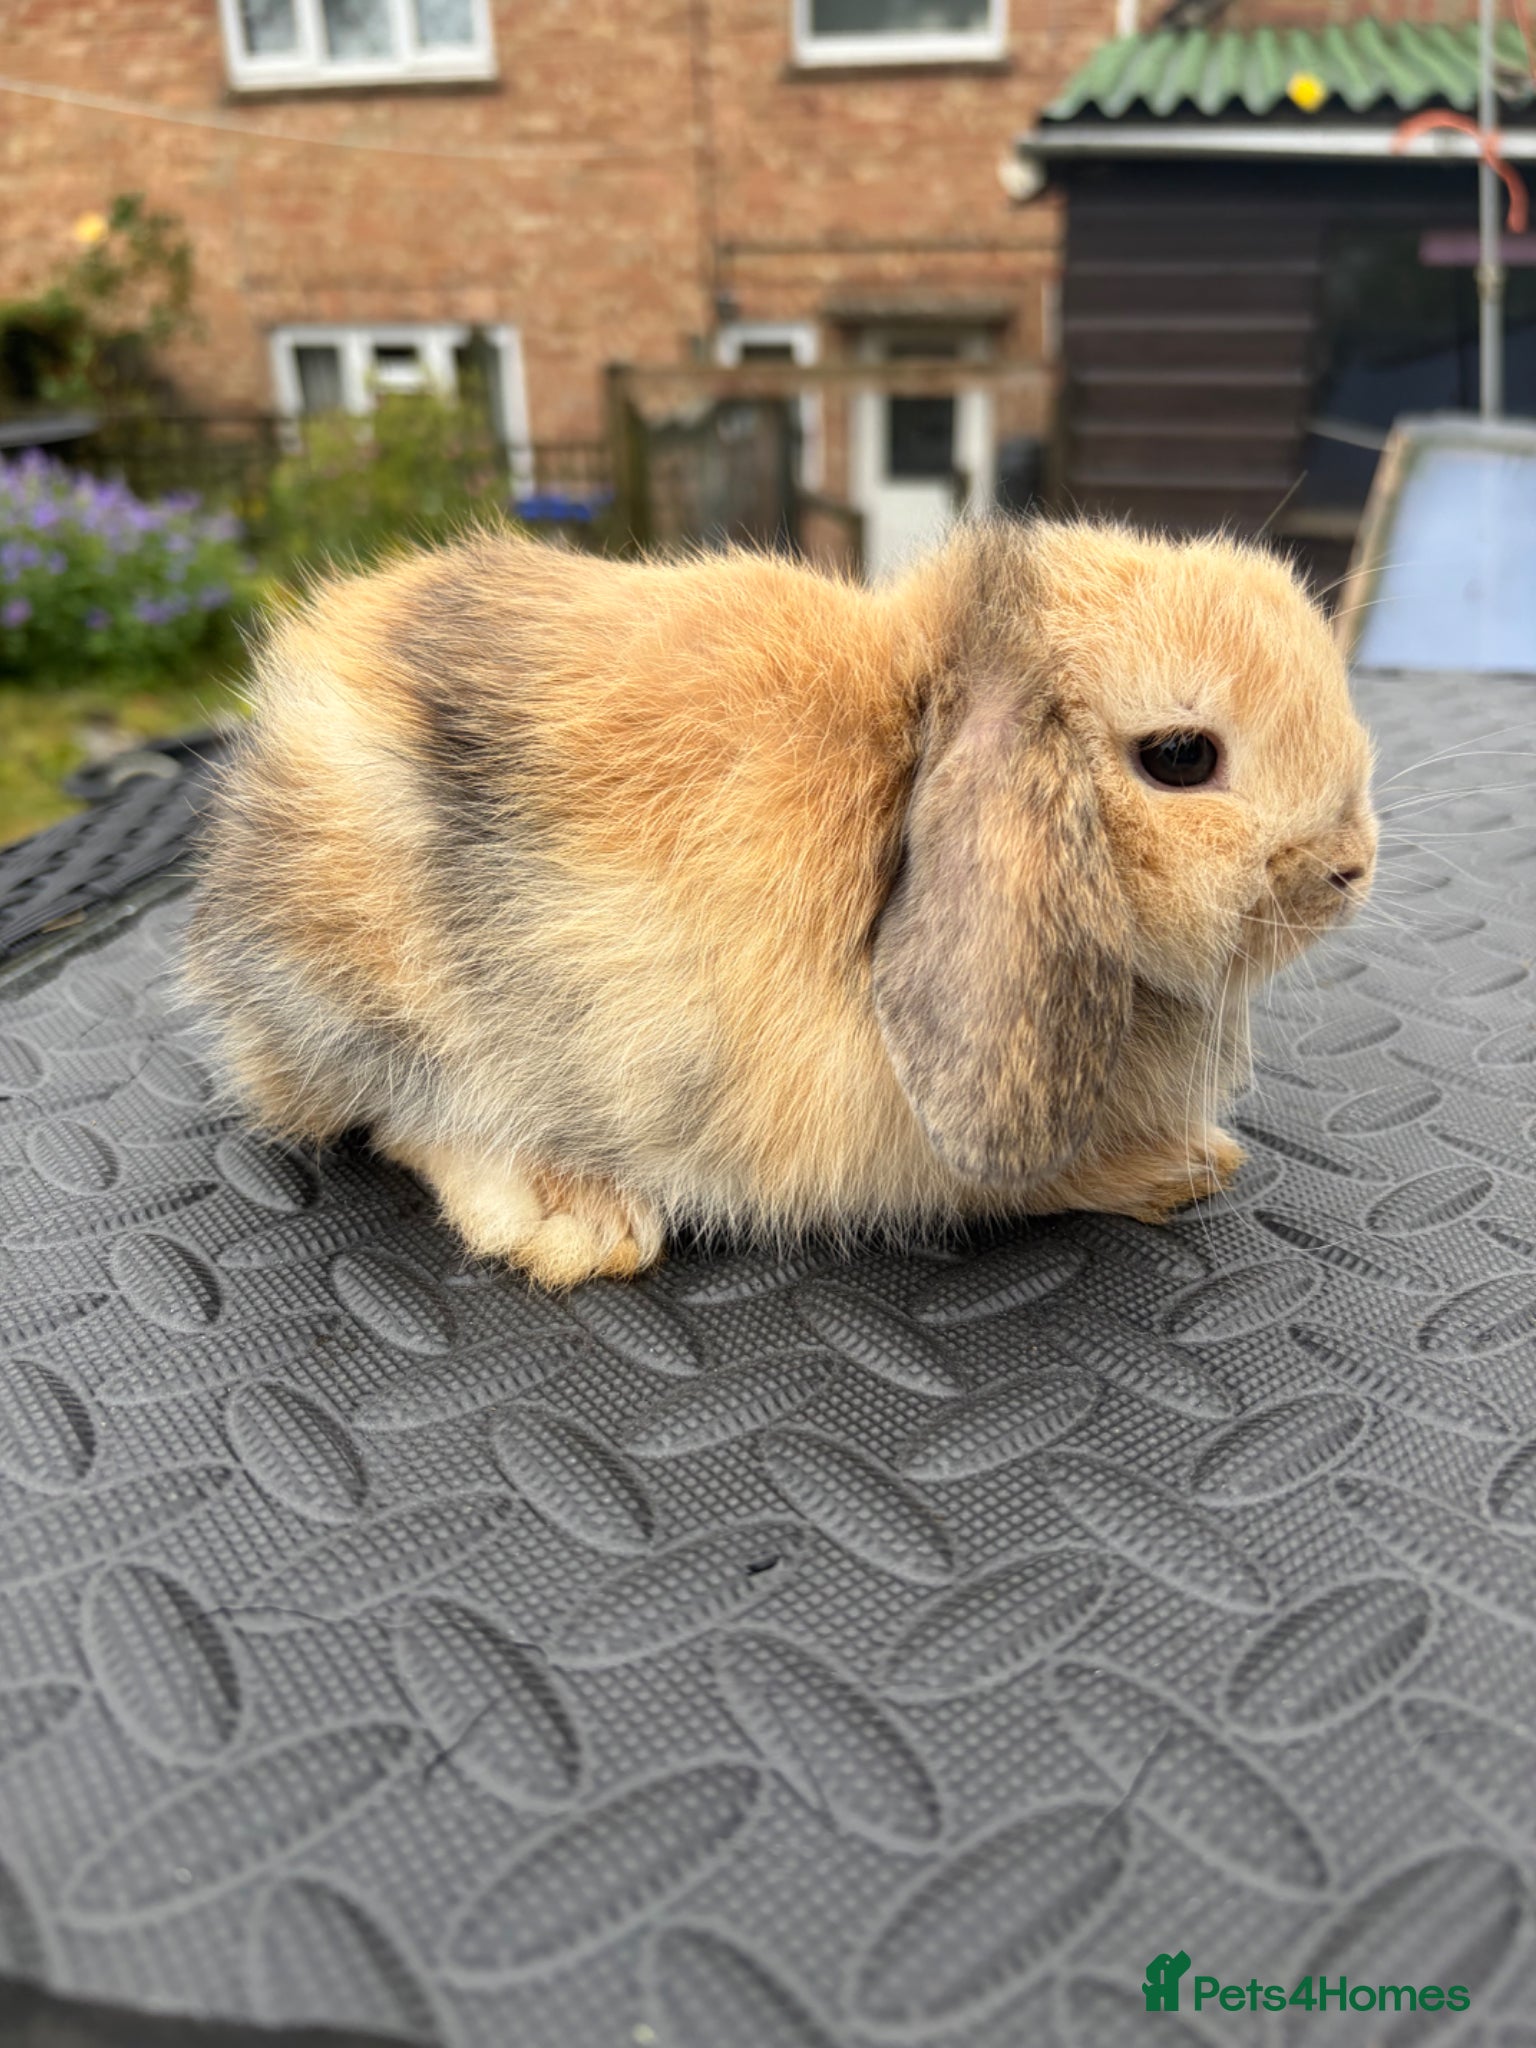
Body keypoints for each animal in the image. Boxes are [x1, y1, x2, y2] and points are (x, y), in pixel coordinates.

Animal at [185, 517, 1377, 1290]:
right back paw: (580, 1221)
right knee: (414, 1123)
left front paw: (1199, 1159)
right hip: (399, 1001)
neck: (914, 726)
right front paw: (1176, 1169)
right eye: (1180, 757)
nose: (1352, 865)